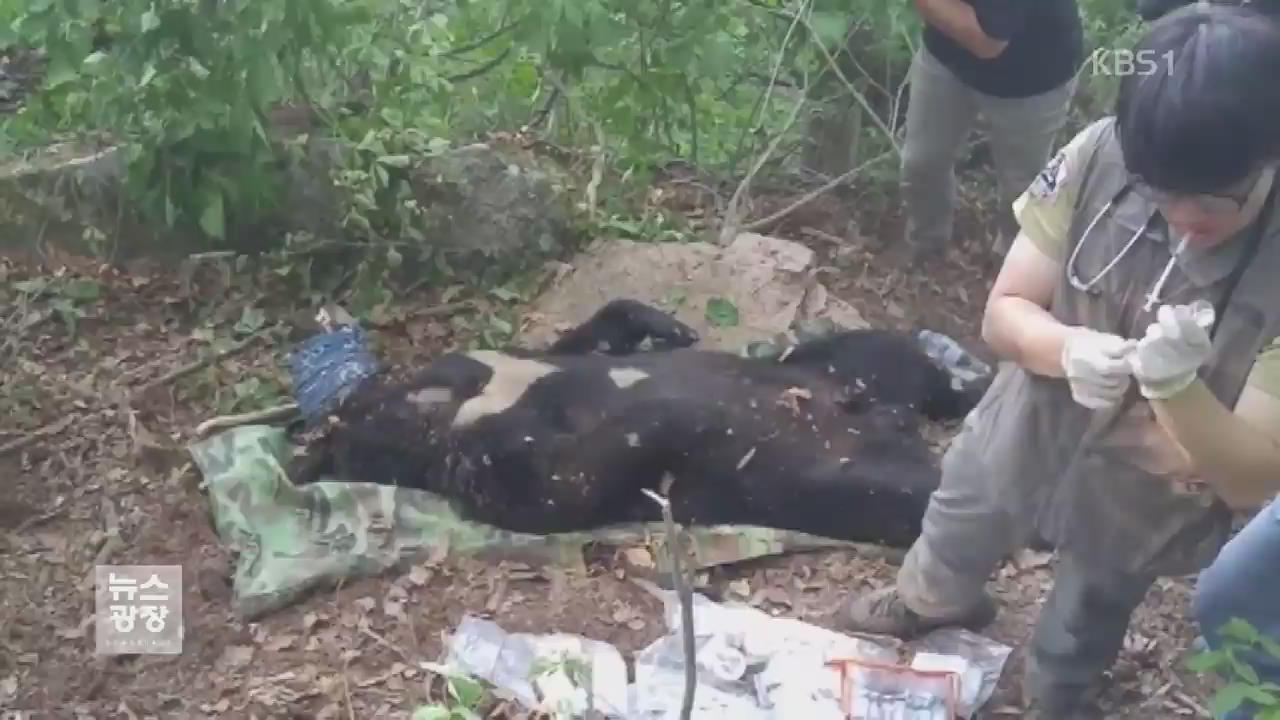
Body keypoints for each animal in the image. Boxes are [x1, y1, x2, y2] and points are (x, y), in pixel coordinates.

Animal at [288, 299, 988, 545]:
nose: (351, 412)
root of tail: (889, 419)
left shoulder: (527, 360)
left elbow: (594, 331)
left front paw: (666, 331)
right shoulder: (509, 472)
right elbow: (578, 469)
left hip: (846, 359)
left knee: (914, 371)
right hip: (844, 481)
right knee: (916, 491)